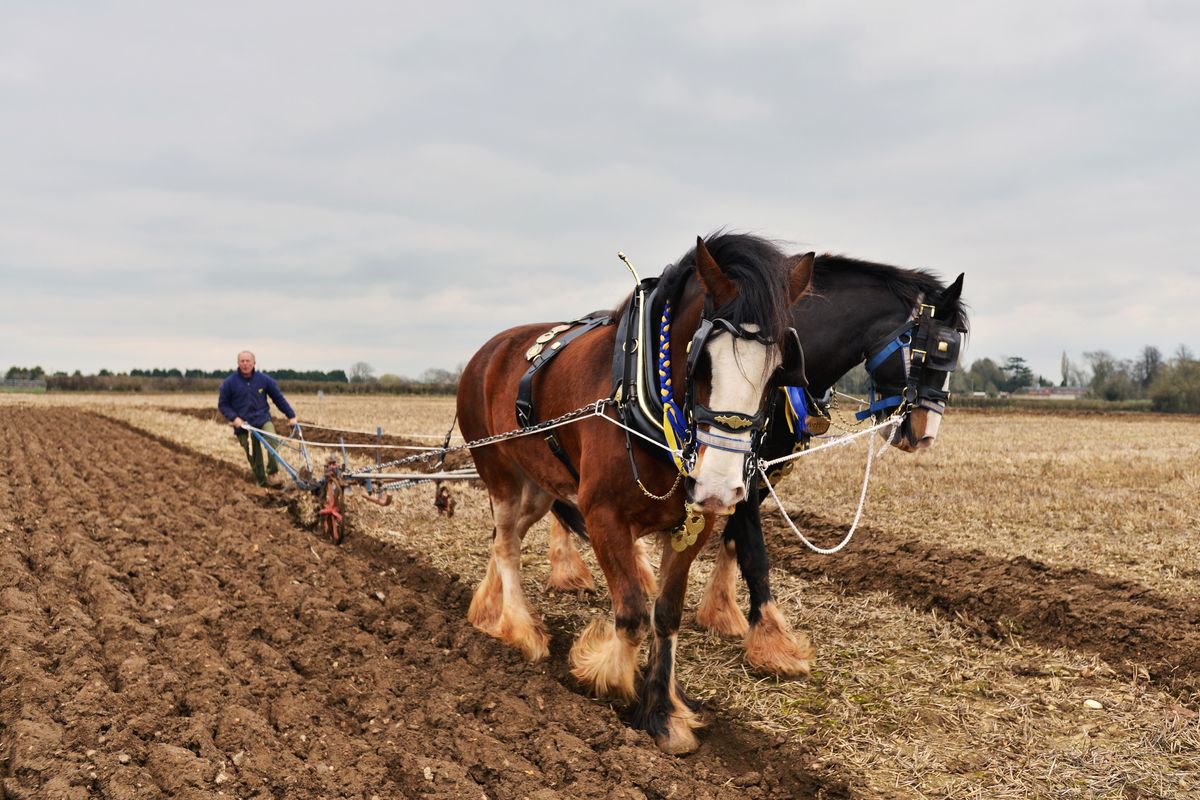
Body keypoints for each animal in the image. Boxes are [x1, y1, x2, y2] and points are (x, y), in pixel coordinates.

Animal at [458, 232, 816, 758]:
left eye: (778, 373)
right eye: (700, 362)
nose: (719, 487)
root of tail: (489, 348)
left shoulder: (694, 524)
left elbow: (665, 615)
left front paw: (665, 714)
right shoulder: (602, 516)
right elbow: (630, 611)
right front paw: (607, 678)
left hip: (538, 486)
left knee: (508, 538)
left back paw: (488, 610)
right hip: (499, 473)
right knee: (505, 544)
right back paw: (521, 630)